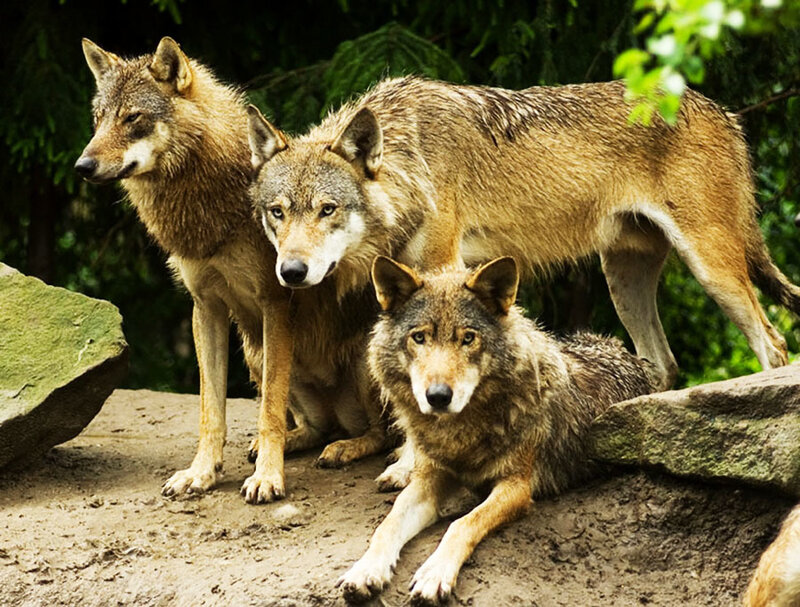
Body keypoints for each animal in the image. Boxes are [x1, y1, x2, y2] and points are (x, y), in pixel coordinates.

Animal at [75, 37, 385, 504]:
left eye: (133, 119)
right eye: (98, 120)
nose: (82, 166)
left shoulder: (276, 303)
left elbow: (269, 410)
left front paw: (267, 478)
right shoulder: (205, 307)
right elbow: (211, 409)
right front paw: (201, 473)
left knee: (380, 434)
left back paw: (343, 448)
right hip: (254, 353)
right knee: (314, 428)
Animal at [247, 75, 800, 401]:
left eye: (327, 209)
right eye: (278, 213)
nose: (291, 272)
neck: (412, 161)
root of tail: (724, 112)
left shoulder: (445, 269)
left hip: (711, 267)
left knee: (773, 345)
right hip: (621, 278)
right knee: (662, 365)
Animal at [336, 256, 660, 604]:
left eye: (468, 338)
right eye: (419, 338)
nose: (437, 397)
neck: (461, 433)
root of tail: (621, 349)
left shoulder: (515, 487)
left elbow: (462, 523)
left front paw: (434, 574)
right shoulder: (429, 480)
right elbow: (388, 524)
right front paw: (365, 570)